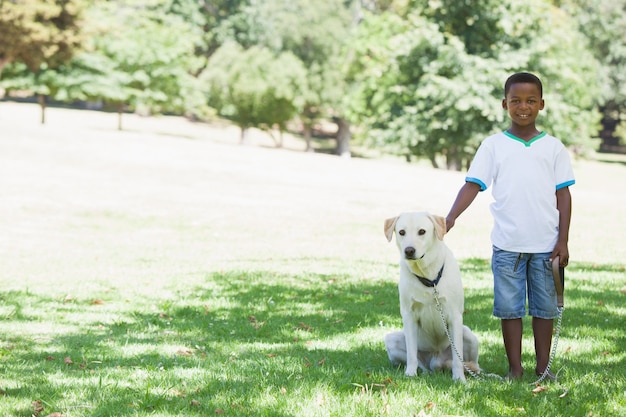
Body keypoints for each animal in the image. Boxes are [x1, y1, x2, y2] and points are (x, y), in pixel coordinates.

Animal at [380, 211, 478, 380]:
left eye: (422, 231)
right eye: (401, 232)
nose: (409, 250)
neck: (428, 276)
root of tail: (436, 360)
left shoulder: (455, 316)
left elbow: (457, 359)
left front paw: (459, 378)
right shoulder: (409, 315)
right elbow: (411, 353)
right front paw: (410, 375)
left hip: (469, 335)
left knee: (472, 363)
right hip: (391, 340)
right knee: (421, 364)